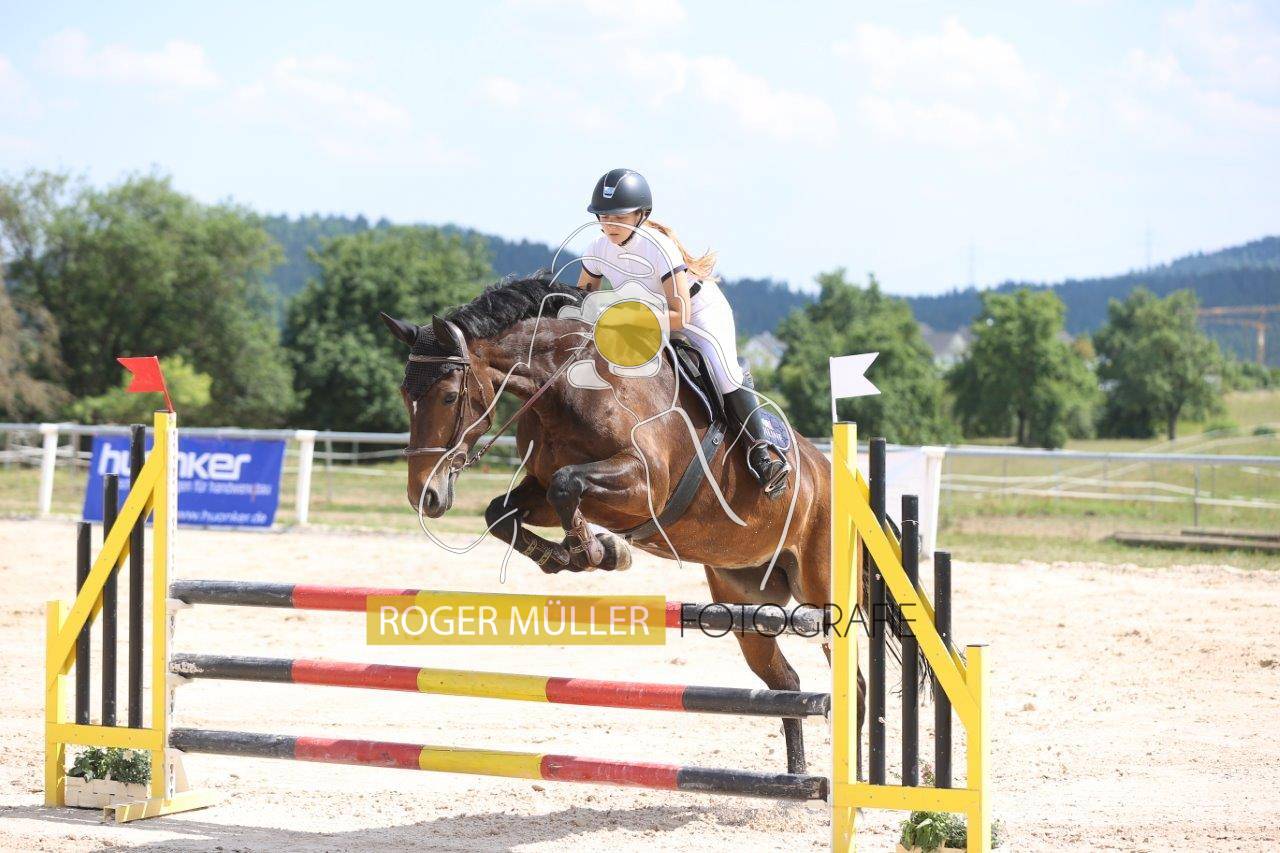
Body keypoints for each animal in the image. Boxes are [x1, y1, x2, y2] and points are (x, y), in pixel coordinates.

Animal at [381, 274, 863, 774]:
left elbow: (566, 484)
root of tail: (834, 475)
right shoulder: (545, 487)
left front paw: (600, 552)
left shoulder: (643, 484)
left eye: (448, 396)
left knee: (853, 681)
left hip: (821, 589)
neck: (564, 387)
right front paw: (572, 556)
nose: (425, 496)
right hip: (745, 597)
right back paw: (797, 772)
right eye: (404, 395)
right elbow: (507, 510)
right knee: (785, 681)